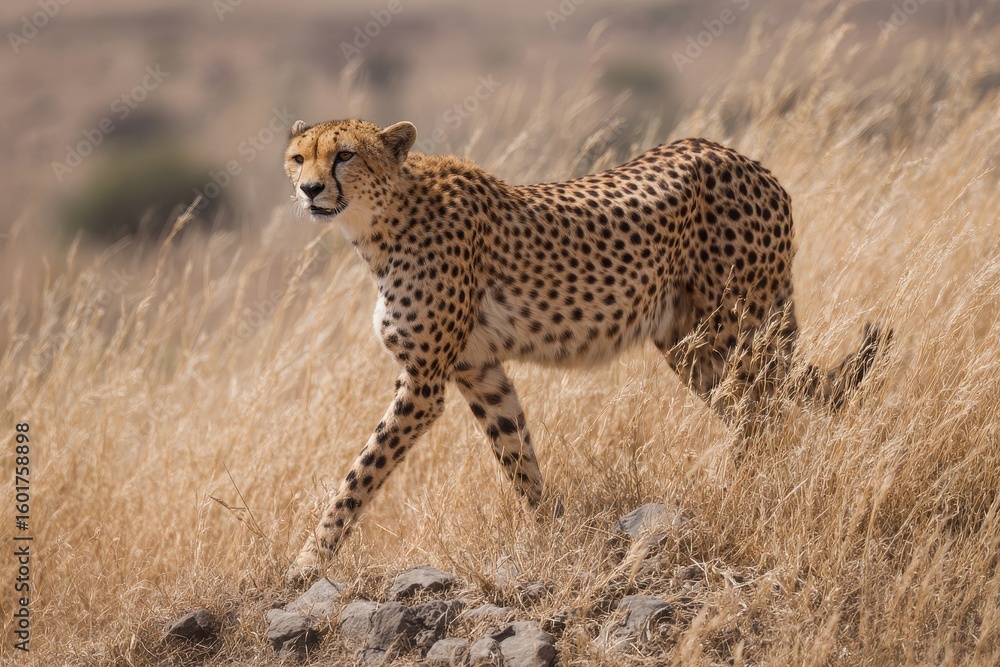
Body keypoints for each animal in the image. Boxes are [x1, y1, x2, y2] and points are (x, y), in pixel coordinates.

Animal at [282, 117, 888, 582]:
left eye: (344, 155)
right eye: (298, 157)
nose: (309, 190)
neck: (382, 223)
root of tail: (746, 160)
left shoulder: (425, 381)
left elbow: (361, 471)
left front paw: (308, 561)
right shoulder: (479, 370)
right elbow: (517, 453)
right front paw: (551, 532)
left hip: (742, 325)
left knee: (772, 408)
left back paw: (755, 491)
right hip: (690, 343)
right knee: (754, 413)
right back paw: (742, 487)